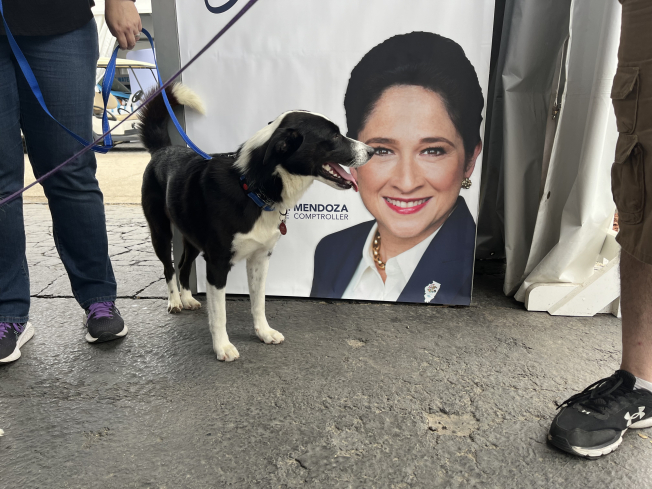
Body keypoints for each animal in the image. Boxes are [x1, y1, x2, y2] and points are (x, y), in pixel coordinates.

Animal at [138, 83, 372, 358]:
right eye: (334, 136)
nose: (371, 151)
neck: (251, 186)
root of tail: (162, 149)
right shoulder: (217, 263)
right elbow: (219, 313)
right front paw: (222, 346)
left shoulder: (260, 258)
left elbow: (259, 302)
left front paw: (264, 332)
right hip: (160, 232)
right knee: (168, 266)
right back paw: (175, 300)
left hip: (192, 237)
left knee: (184, 265)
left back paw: (187, 298)